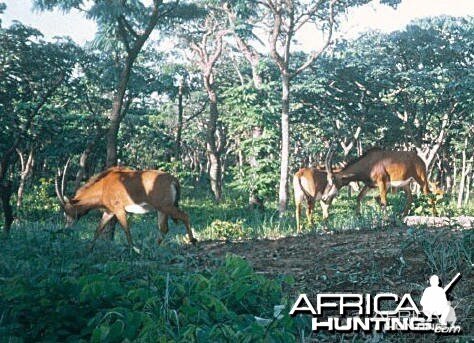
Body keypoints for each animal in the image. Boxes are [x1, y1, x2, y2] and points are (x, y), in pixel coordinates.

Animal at [55, 164, 196, 250]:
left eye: (67, 211)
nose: (67, 228)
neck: (104, 185)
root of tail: (173, 179)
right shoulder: (109, 212)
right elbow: (98, 230)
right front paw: (89, 248)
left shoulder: (119, 210)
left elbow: (126, 230)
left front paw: (133, 249)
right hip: (161, 210)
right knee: (164, 228)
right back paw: (154, 247)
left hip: (166, 207)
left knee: (185, 216)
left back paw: (193, 241)